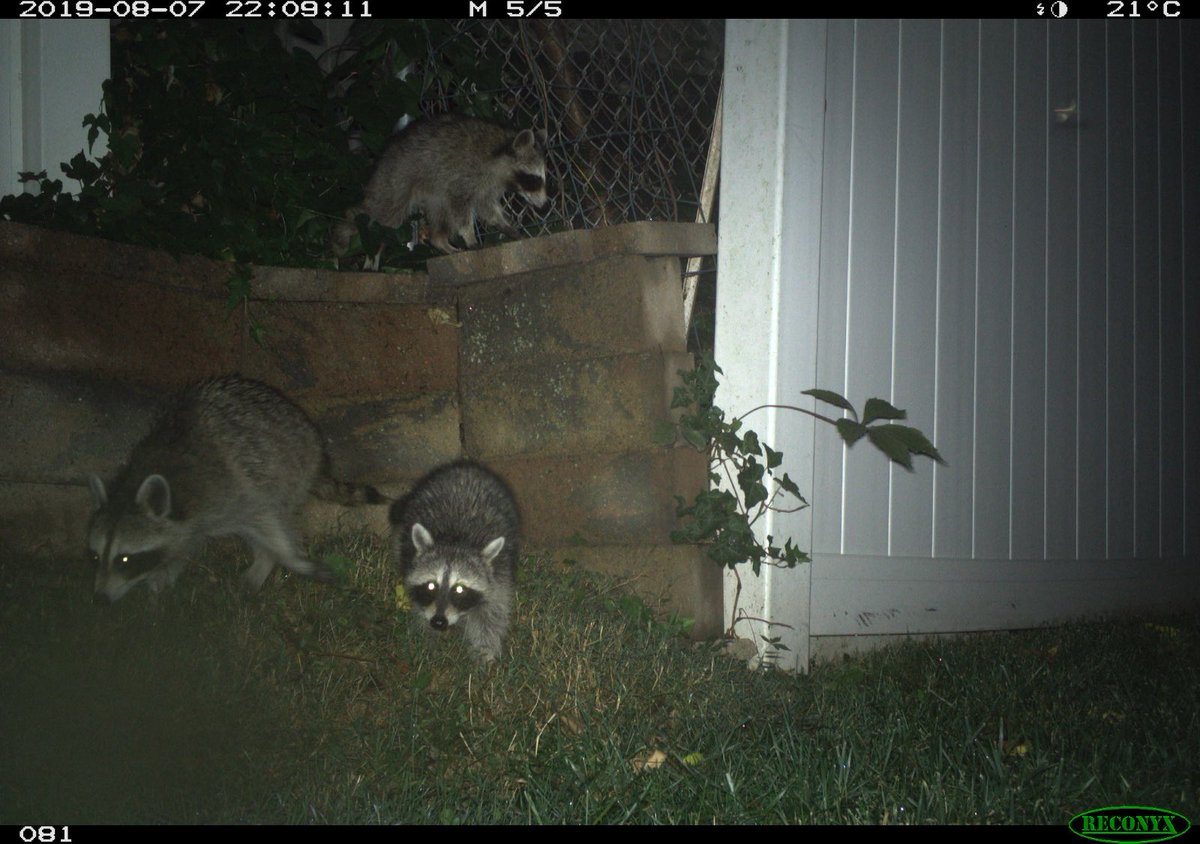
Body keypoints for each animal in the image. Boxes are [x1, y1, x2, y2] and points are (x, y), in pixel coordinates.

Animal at [87, 376, 385, 603]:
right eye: (95, 556)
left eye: (125, 559)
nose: (99, 599)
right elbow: (186, 539)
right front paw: (168, 567)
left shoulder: (236, 486)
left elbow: (268, 522)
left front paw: (289, 558)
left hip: (292, 467)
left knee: (279, 511)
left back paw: (264, 561)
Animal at [332, 114, 550, 257]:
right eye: (534, 179)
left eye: (542, 178)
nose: (545, 205)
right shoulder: (464, 175)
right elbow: (461, 209)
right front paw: (469, 235)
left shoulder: (487, 187)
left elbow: (487, 208)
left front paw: (505, 224)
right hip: (397, 178)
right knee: (383, 213)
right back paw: (349, 228)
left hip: (432, 191)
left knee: (440, 212)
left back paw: (440, 241)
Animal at [390, 460, 520, 664]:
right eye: (431, 586)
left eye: (459, 589)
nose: (438, 622)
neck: (456, 540)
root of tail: (466, 466)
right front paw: (426, 640)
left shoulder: (499, 574)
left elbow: (492, 613)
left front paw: (484, 651)